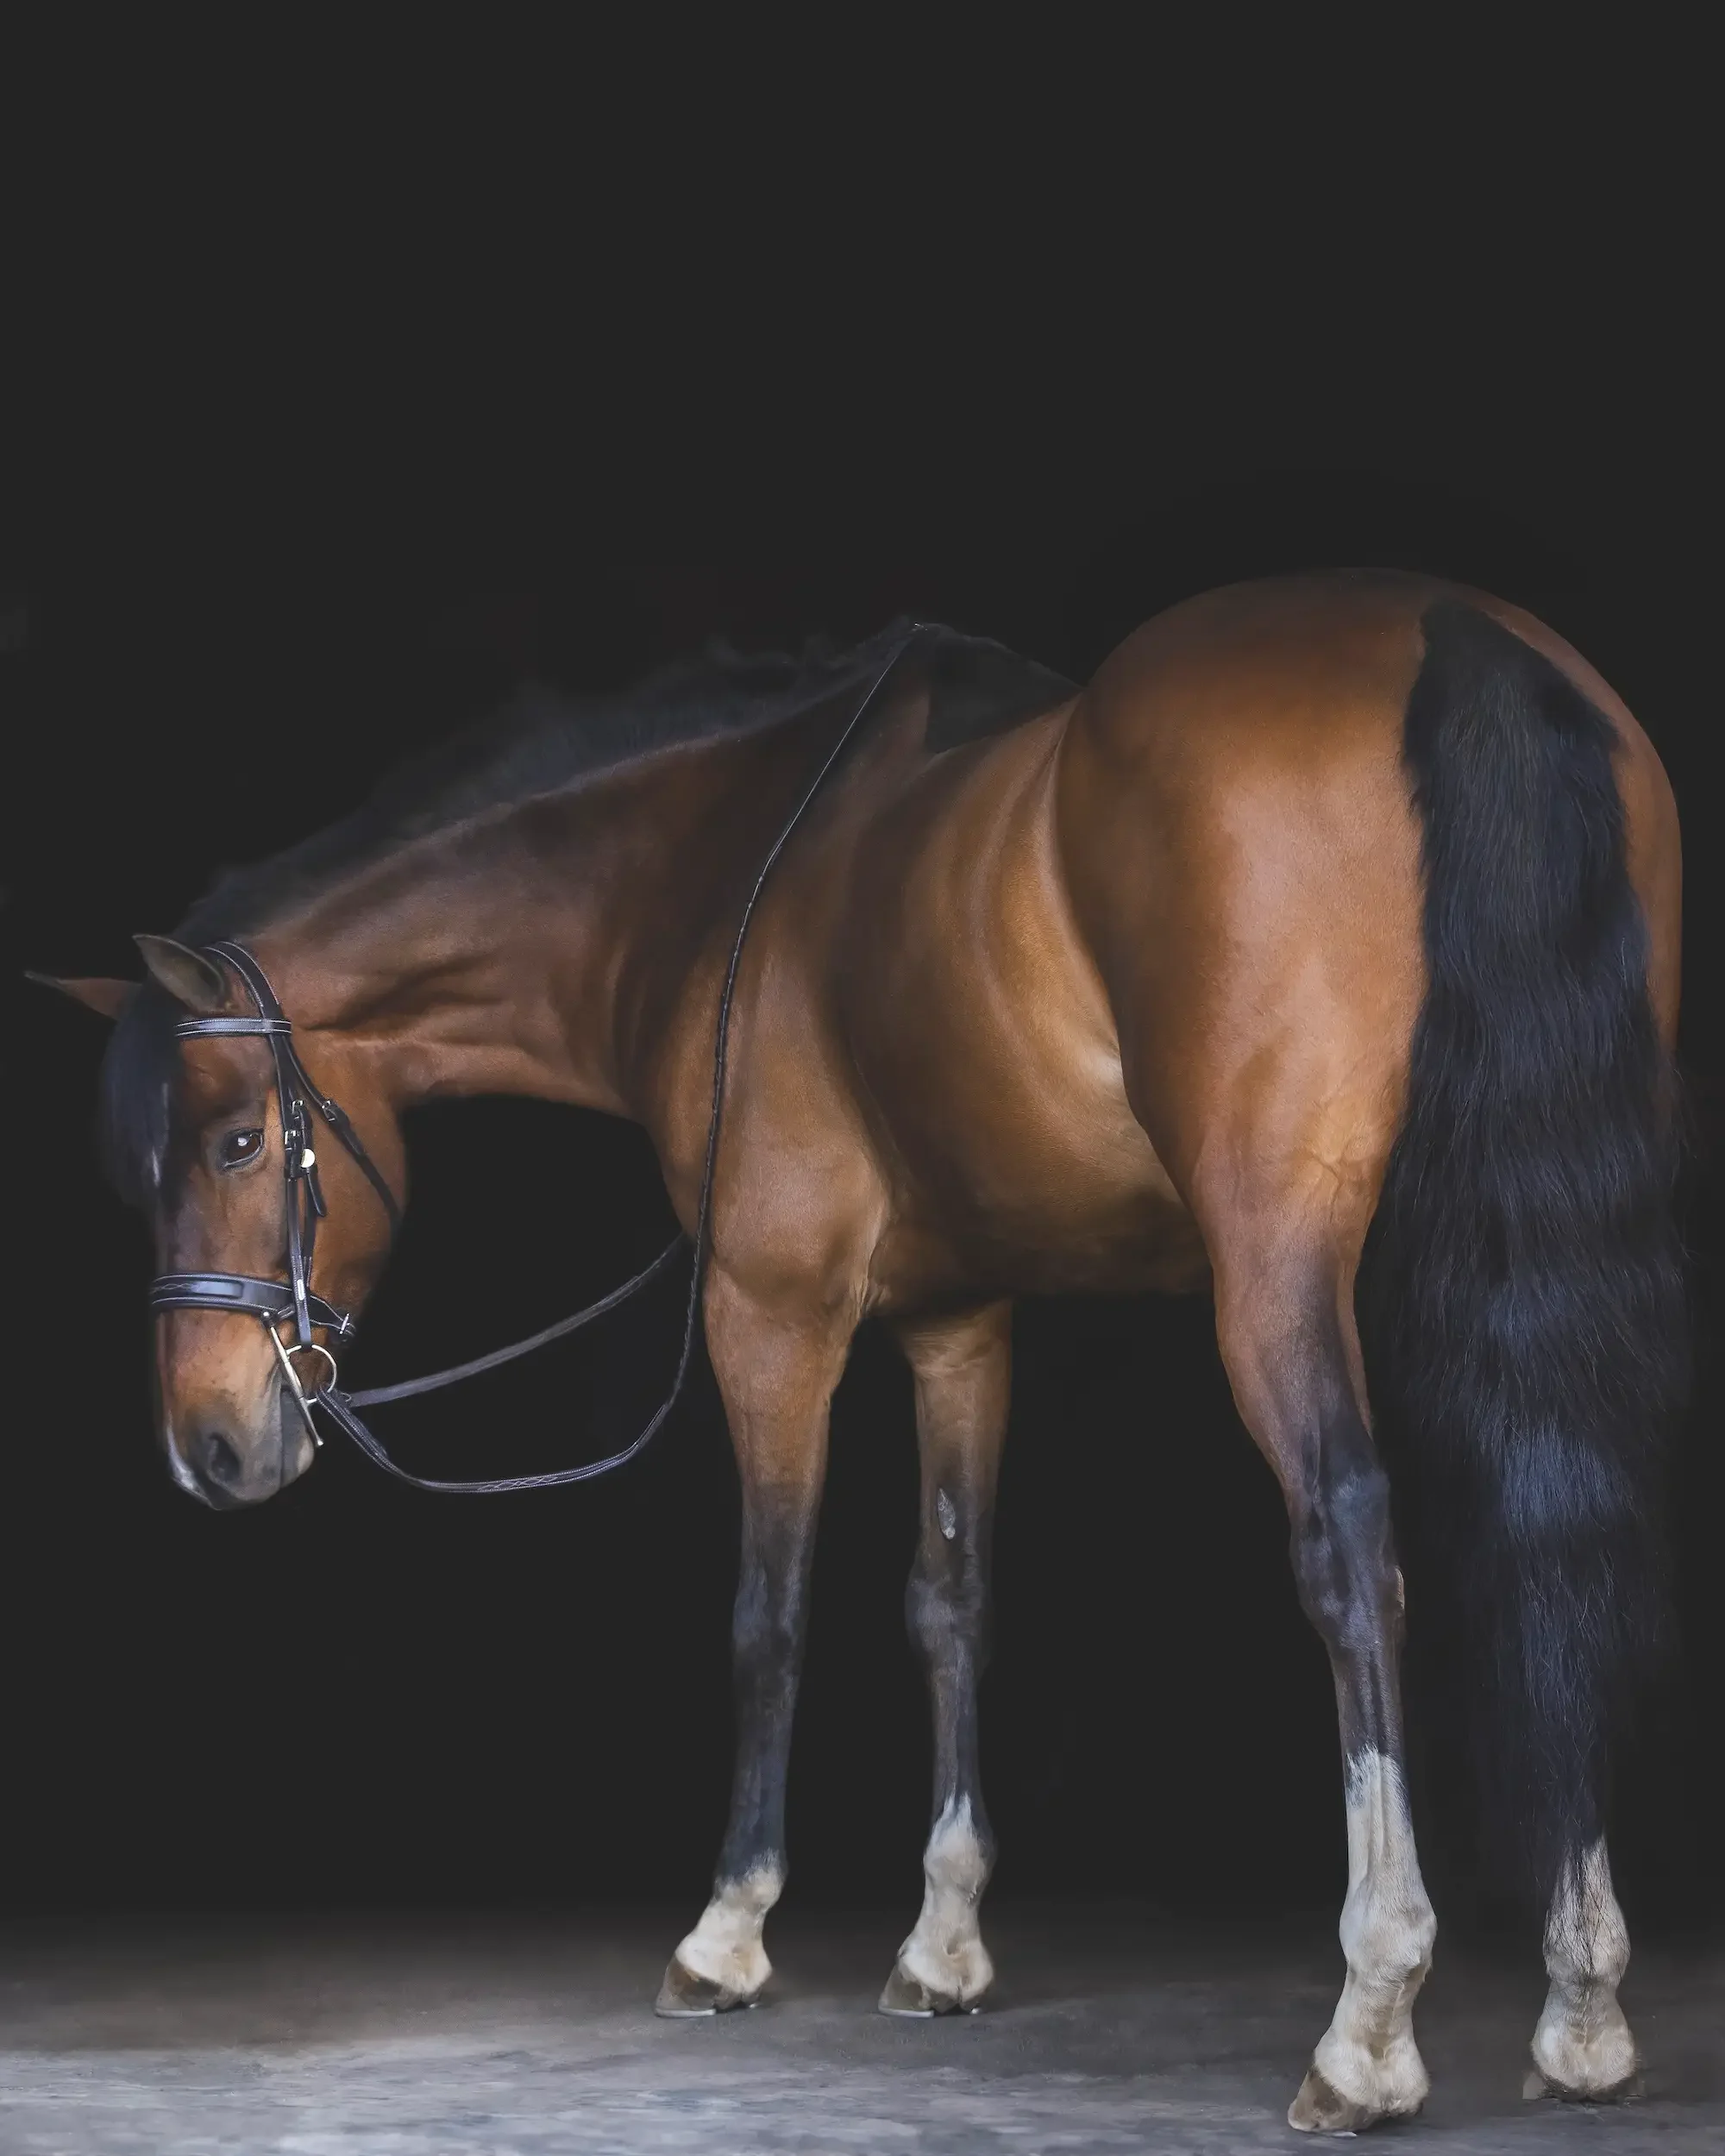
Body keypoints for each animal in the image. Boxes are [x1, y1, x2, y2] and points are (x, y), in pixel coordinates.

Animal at [38, 571, 1686, 2133]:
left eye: (237, 1140)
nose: (210, 1447)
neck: (711, 880)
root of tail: (1447, 631)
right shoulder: (961, 1321)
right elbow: (950, 1600)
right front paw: (943, 1944)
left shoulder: (770, 1310)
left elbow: (768, 1614)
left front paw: (727, 1932)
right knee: (1564, 1530)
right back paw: (1583, 2008)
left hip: (1274, 1261)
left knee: (1349, 1546)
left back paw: (1369, 2022)